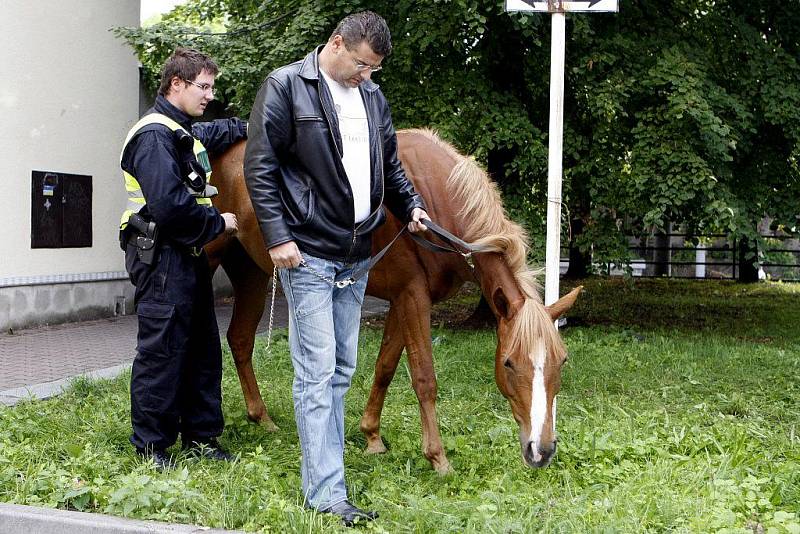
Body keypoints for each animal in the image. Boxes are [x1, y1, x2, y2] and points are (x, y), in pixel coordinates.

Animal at [205, 129, 580, 474]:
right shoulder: (413, 298)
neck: (432, 204)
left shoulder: (403, 300)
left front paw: (372, 437)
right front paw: (438, 458)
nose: (541, 450)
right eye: (508, 363)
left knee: (240, 339)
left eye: (562, 361)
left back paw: (262, 418)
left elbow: (385, 366)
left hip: (253, 274)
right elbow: (424, 378)